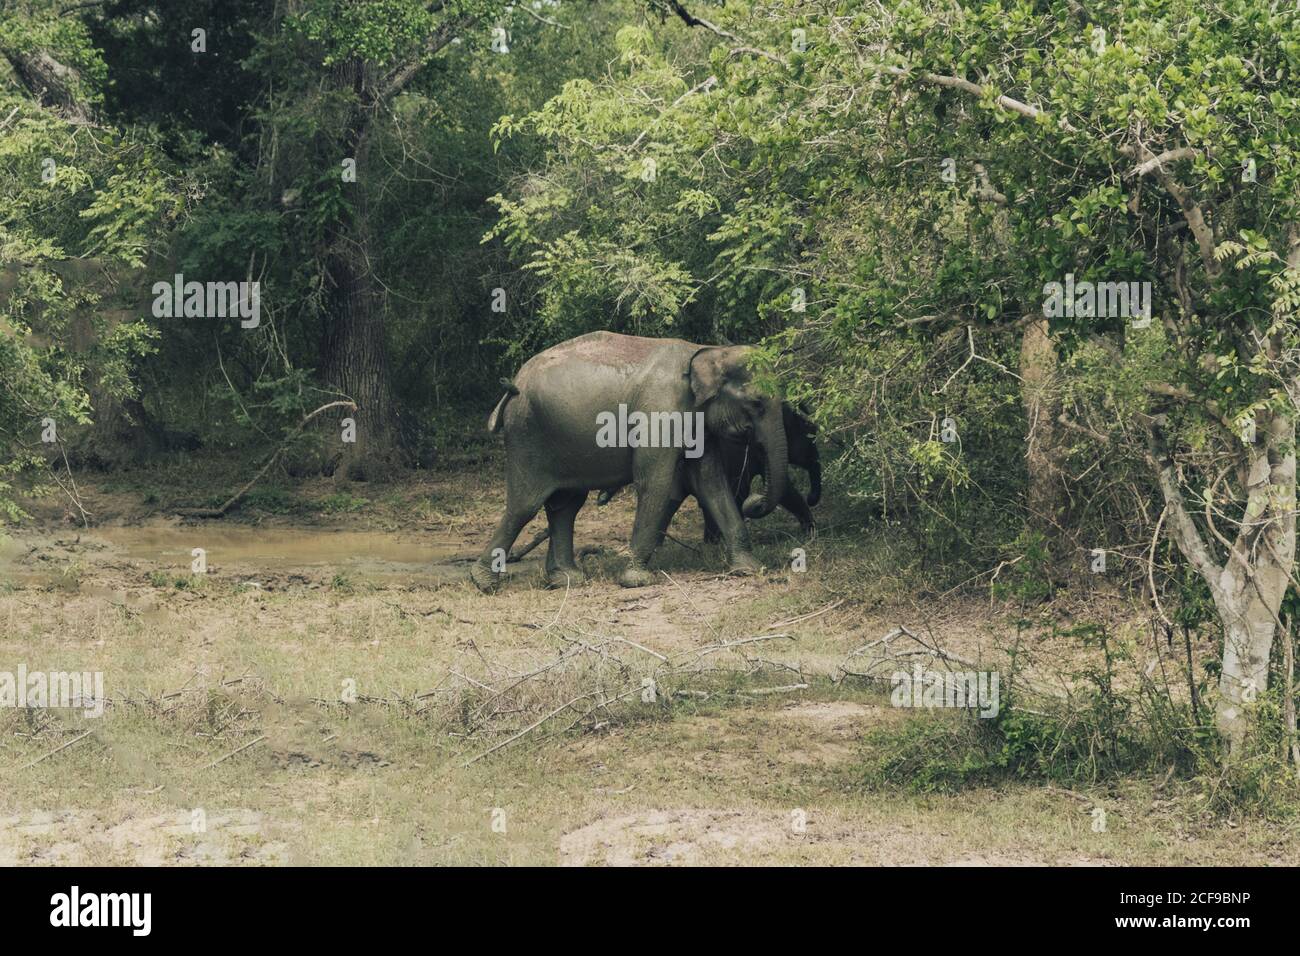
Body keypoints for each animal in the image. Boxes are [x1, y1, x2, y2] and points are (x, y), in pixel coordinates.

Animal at [473, 335, 785, 590]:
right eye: (757, 402)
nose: (756, 501)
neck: (707, 350)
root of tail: (514, 383)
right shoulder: (660, 412)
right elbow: (655, 481)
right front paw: (637, 580)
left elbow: (711, 482)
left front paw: (749, 569)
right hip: (527, 436)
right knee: (525, 506)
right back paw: (485, 583)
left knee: (566, 505)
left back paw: (567, 580)